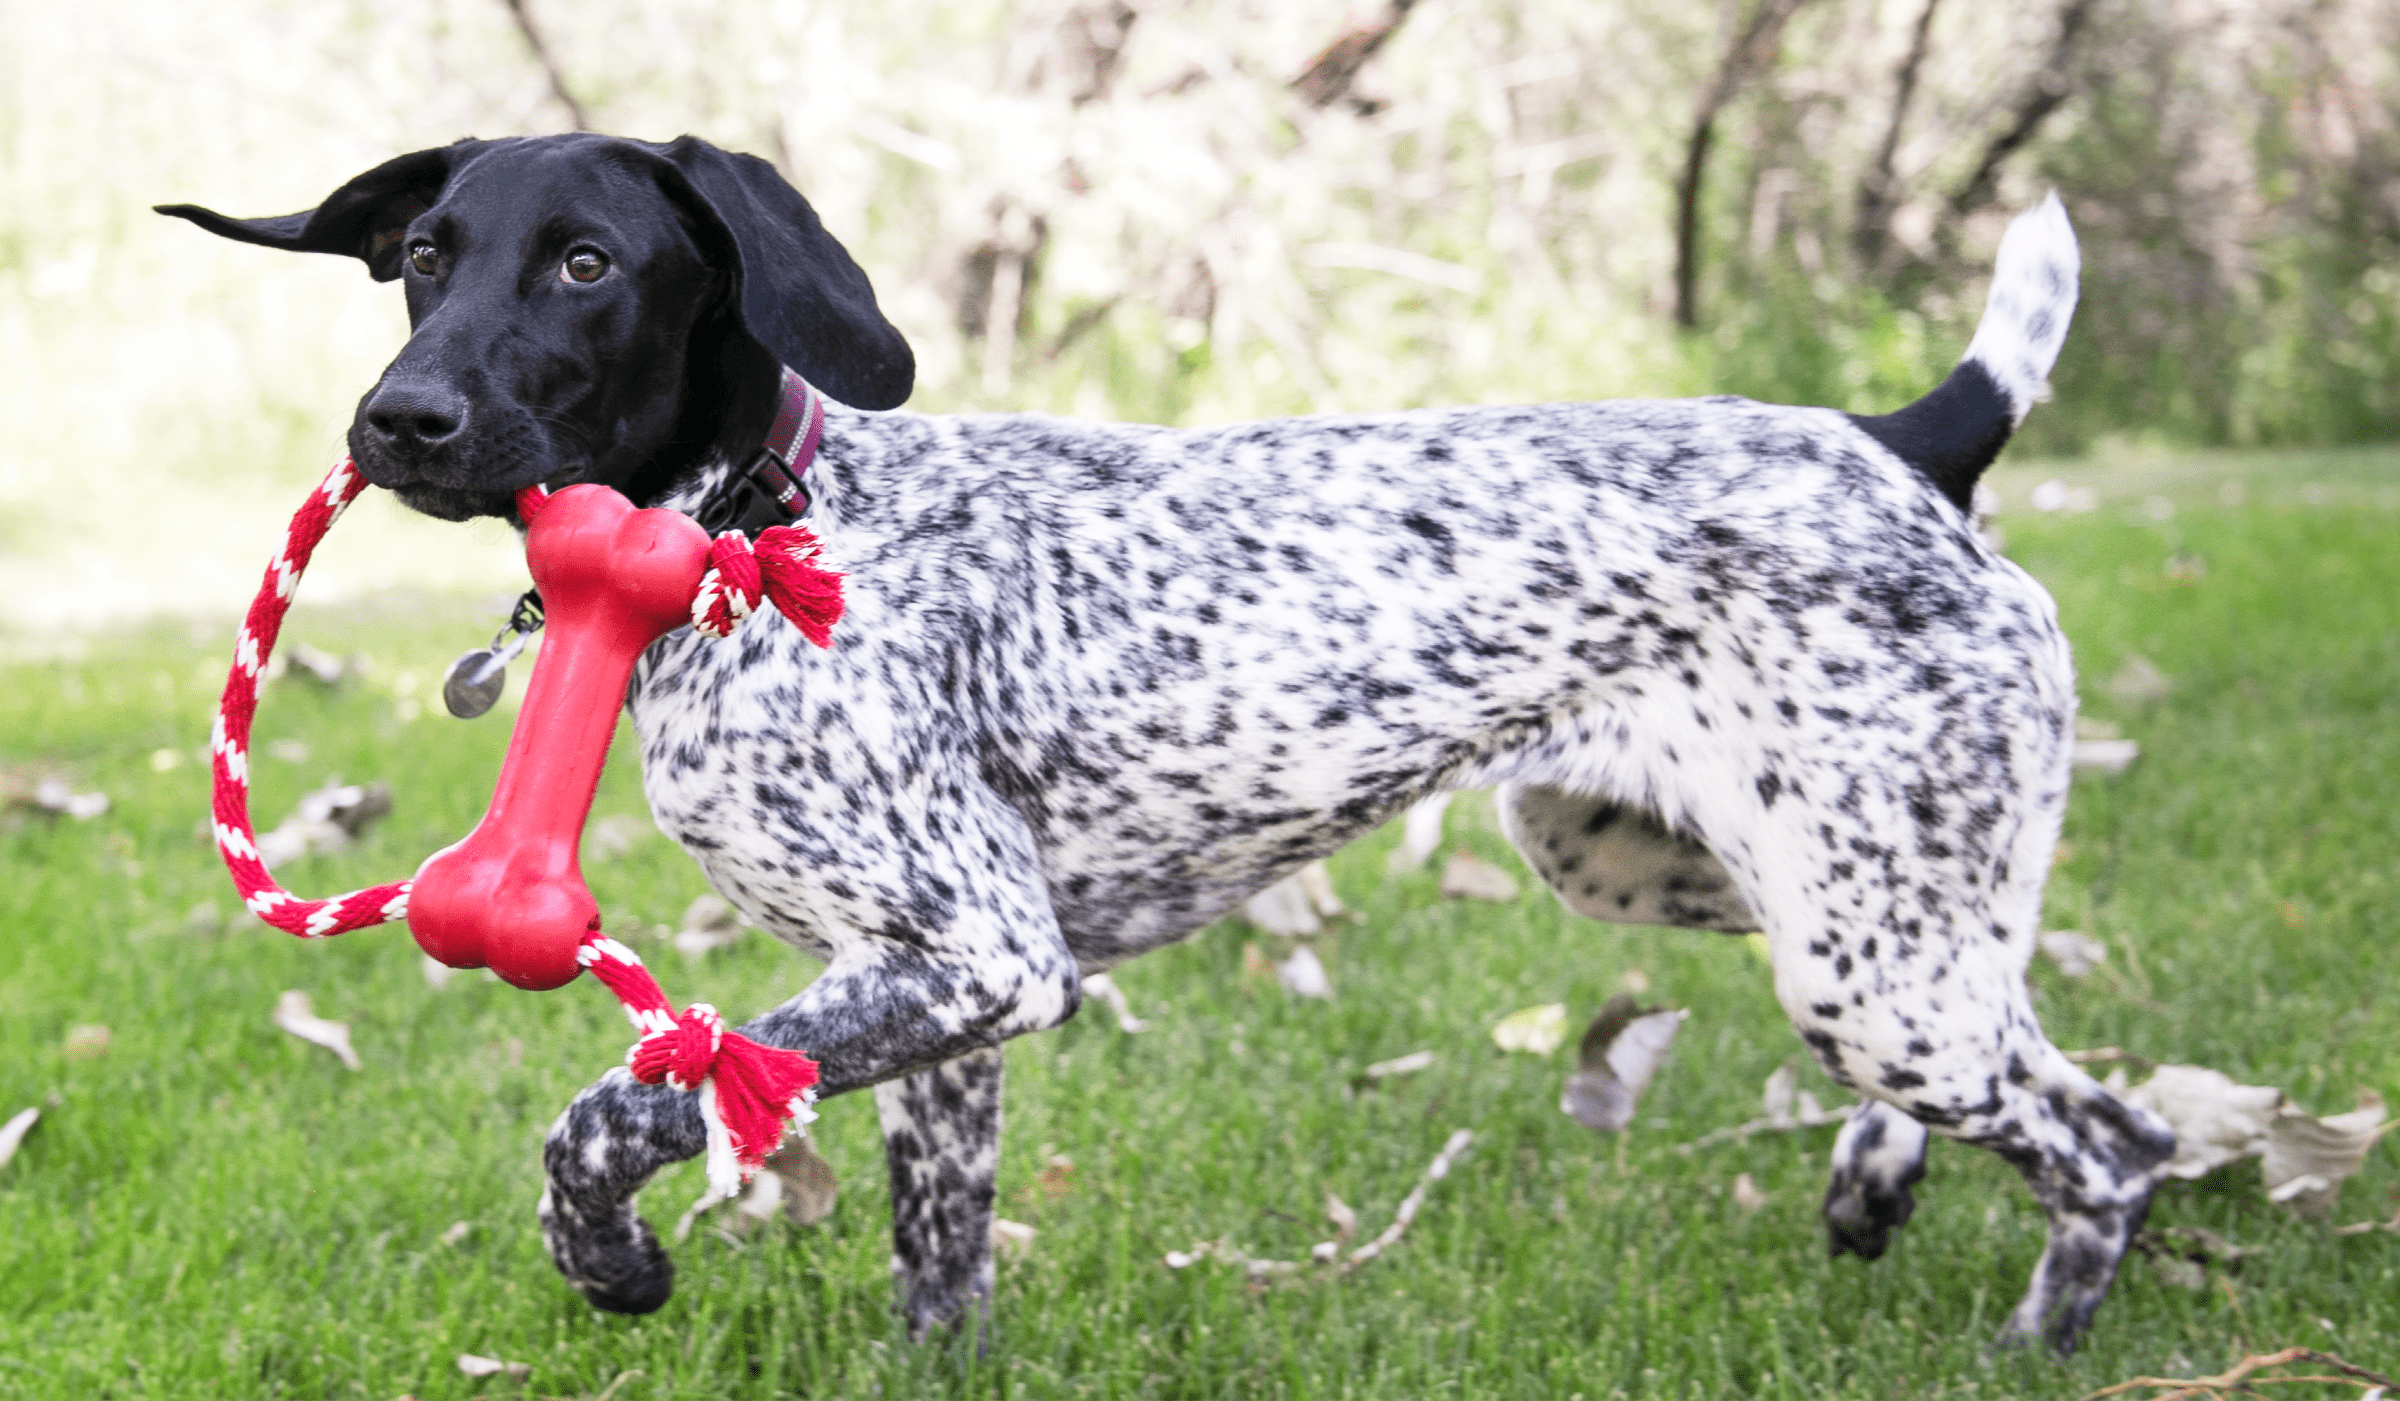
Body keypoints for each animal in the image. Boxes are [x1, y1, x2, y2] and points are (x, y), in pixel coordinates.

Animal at [150, 134, 2179, 1353]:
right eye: (423, 254)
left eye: (584, 264)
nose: (397, 419)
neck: (773, 529)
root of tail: (1905, 436)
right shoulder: (936, 1005)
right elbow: (940, 1262)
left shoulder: (979, 959)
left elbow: (612, 1111)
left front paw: (612, 1254)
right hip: (1754, 885)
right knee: (2038, 1059)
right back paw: (1881, 1184)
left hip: (1867, 956)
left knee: (2118, 1143)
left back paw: (2032, 1344)